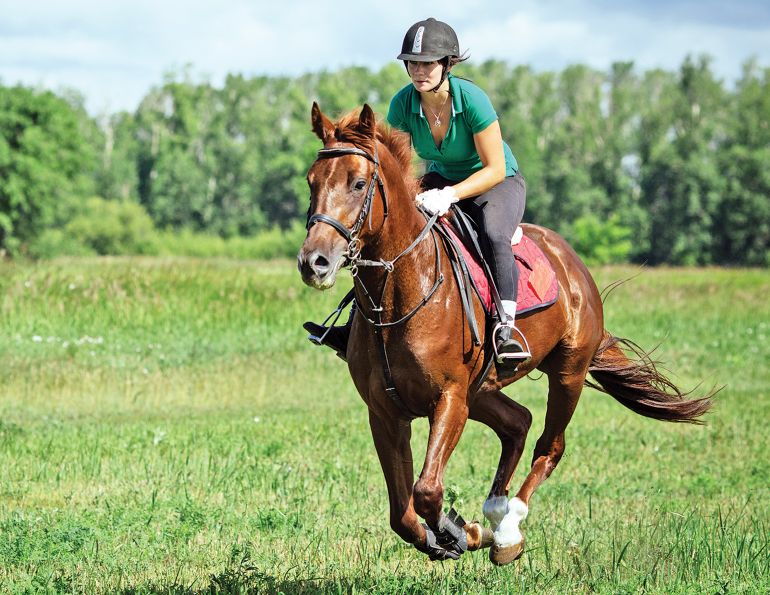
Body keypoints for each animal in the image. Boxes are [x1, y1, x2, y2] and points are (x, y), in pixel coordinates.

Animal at [297, 102, 713, 565]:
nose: (314, 262)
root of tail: (572, 263)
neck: (400, 295)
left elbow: (427, 492)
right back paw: (494, 516)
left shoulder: (450, 400)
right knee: (517, 422)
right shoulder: (386, 413)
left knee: (550, 446)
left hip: (566, 374)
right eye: (312, 181)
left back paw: (508, 530)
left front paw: (458, 532)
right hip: (483, 389)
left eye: (358, 183)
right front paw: (456, 534)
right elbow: (402, 514)